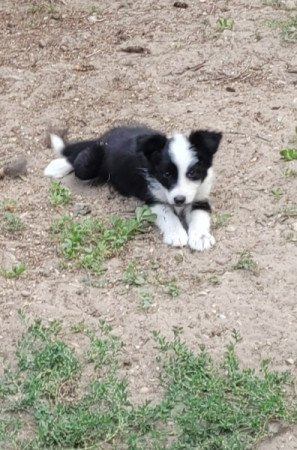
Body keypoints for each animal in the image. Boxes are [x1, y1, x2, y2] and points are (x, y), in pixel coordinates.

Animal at [43, 125, 220, 251]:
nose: (179, 200)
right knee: (77, 158)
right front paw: (176, 234)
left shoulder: (199, 197)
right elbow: (168, 215)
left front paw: (201, 238)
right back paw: (57, 167)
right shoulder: (153, 199)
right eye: (167, 174)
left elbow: (200, 216)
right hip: (88, 164)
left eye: (192, 173)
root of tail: (105, 137)